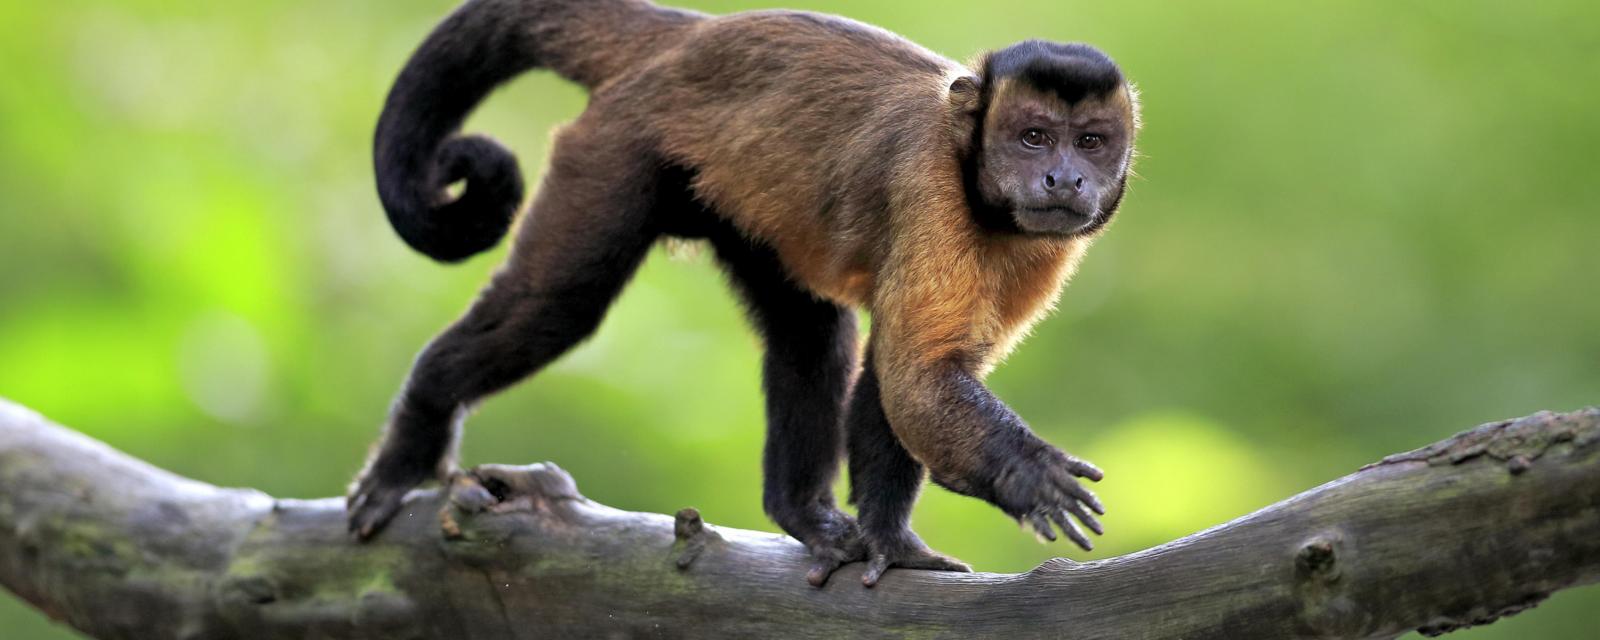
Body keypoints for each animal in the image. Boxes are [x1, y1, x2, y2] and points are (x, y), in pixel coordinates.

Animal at [348, 0, 1139, 588]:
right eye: (1033, 137)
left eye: (1091, 142)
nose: (1064, 178)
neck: (978, 190)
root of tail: (691, 32)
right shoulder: (927, 185)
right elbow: (917, 374)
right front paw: (1028, 474)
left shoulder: (1047, 250)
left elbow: (901, 373)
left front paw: (890, 542)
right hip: (618, 143)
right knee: (557, 304)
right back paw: (416, 434)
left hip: (734, 200)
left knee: (810, 336)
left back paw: (800, 513)